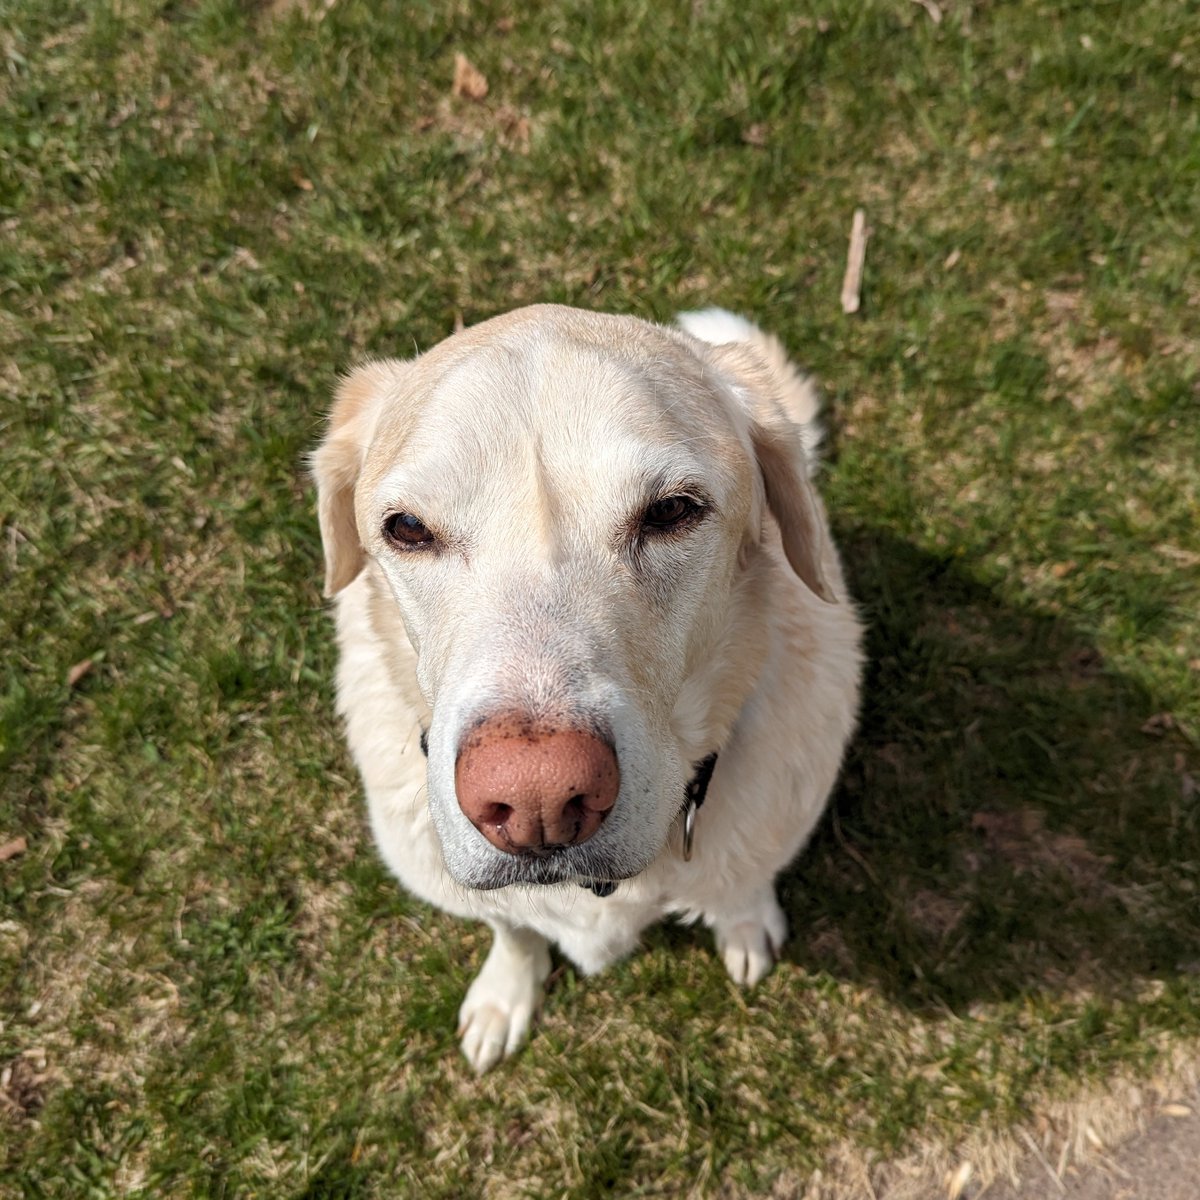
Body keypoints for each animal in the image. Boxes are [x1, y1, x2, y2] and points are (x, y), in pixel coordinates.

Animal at [314, 304, 864, 1075]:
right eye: (409, 528)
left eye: (672, 511)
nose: (537, 798)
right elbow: (513, 929)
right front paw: (505, 994)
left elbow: (743, 885)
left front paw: (745, 927)